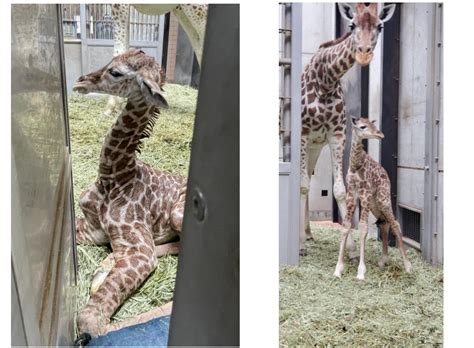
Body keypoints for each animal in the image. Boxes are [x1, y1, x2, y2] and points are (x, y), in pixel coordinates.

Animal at [300, 2, 396, 256]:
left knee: (309, 179)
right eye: (351, 24)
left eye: (380, 26)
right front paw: (299, 246)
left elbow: (339, 190)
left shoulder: (336, 135)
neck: (325, 80)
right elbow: (302, 186)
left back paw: (308, 233)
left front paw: (351, 248)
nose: (363, 53)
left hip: (314, 147)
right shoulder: (302, 134)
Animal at [334, 117, 412, 280]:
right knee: (384, 223)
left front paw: (360, 272)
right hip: (375, 205)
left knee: (395, 223)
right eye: (363, 126)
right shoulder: (351, 195)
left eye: (373, 124)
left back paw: (408, 266)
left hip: (383, 199)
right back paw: (383, 260)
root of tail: (387, 176)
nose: (380, 134)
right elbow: (345, 227)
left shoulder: (365, 194)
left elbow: (363, 228)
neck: (355, 165)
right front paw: (338, 269)